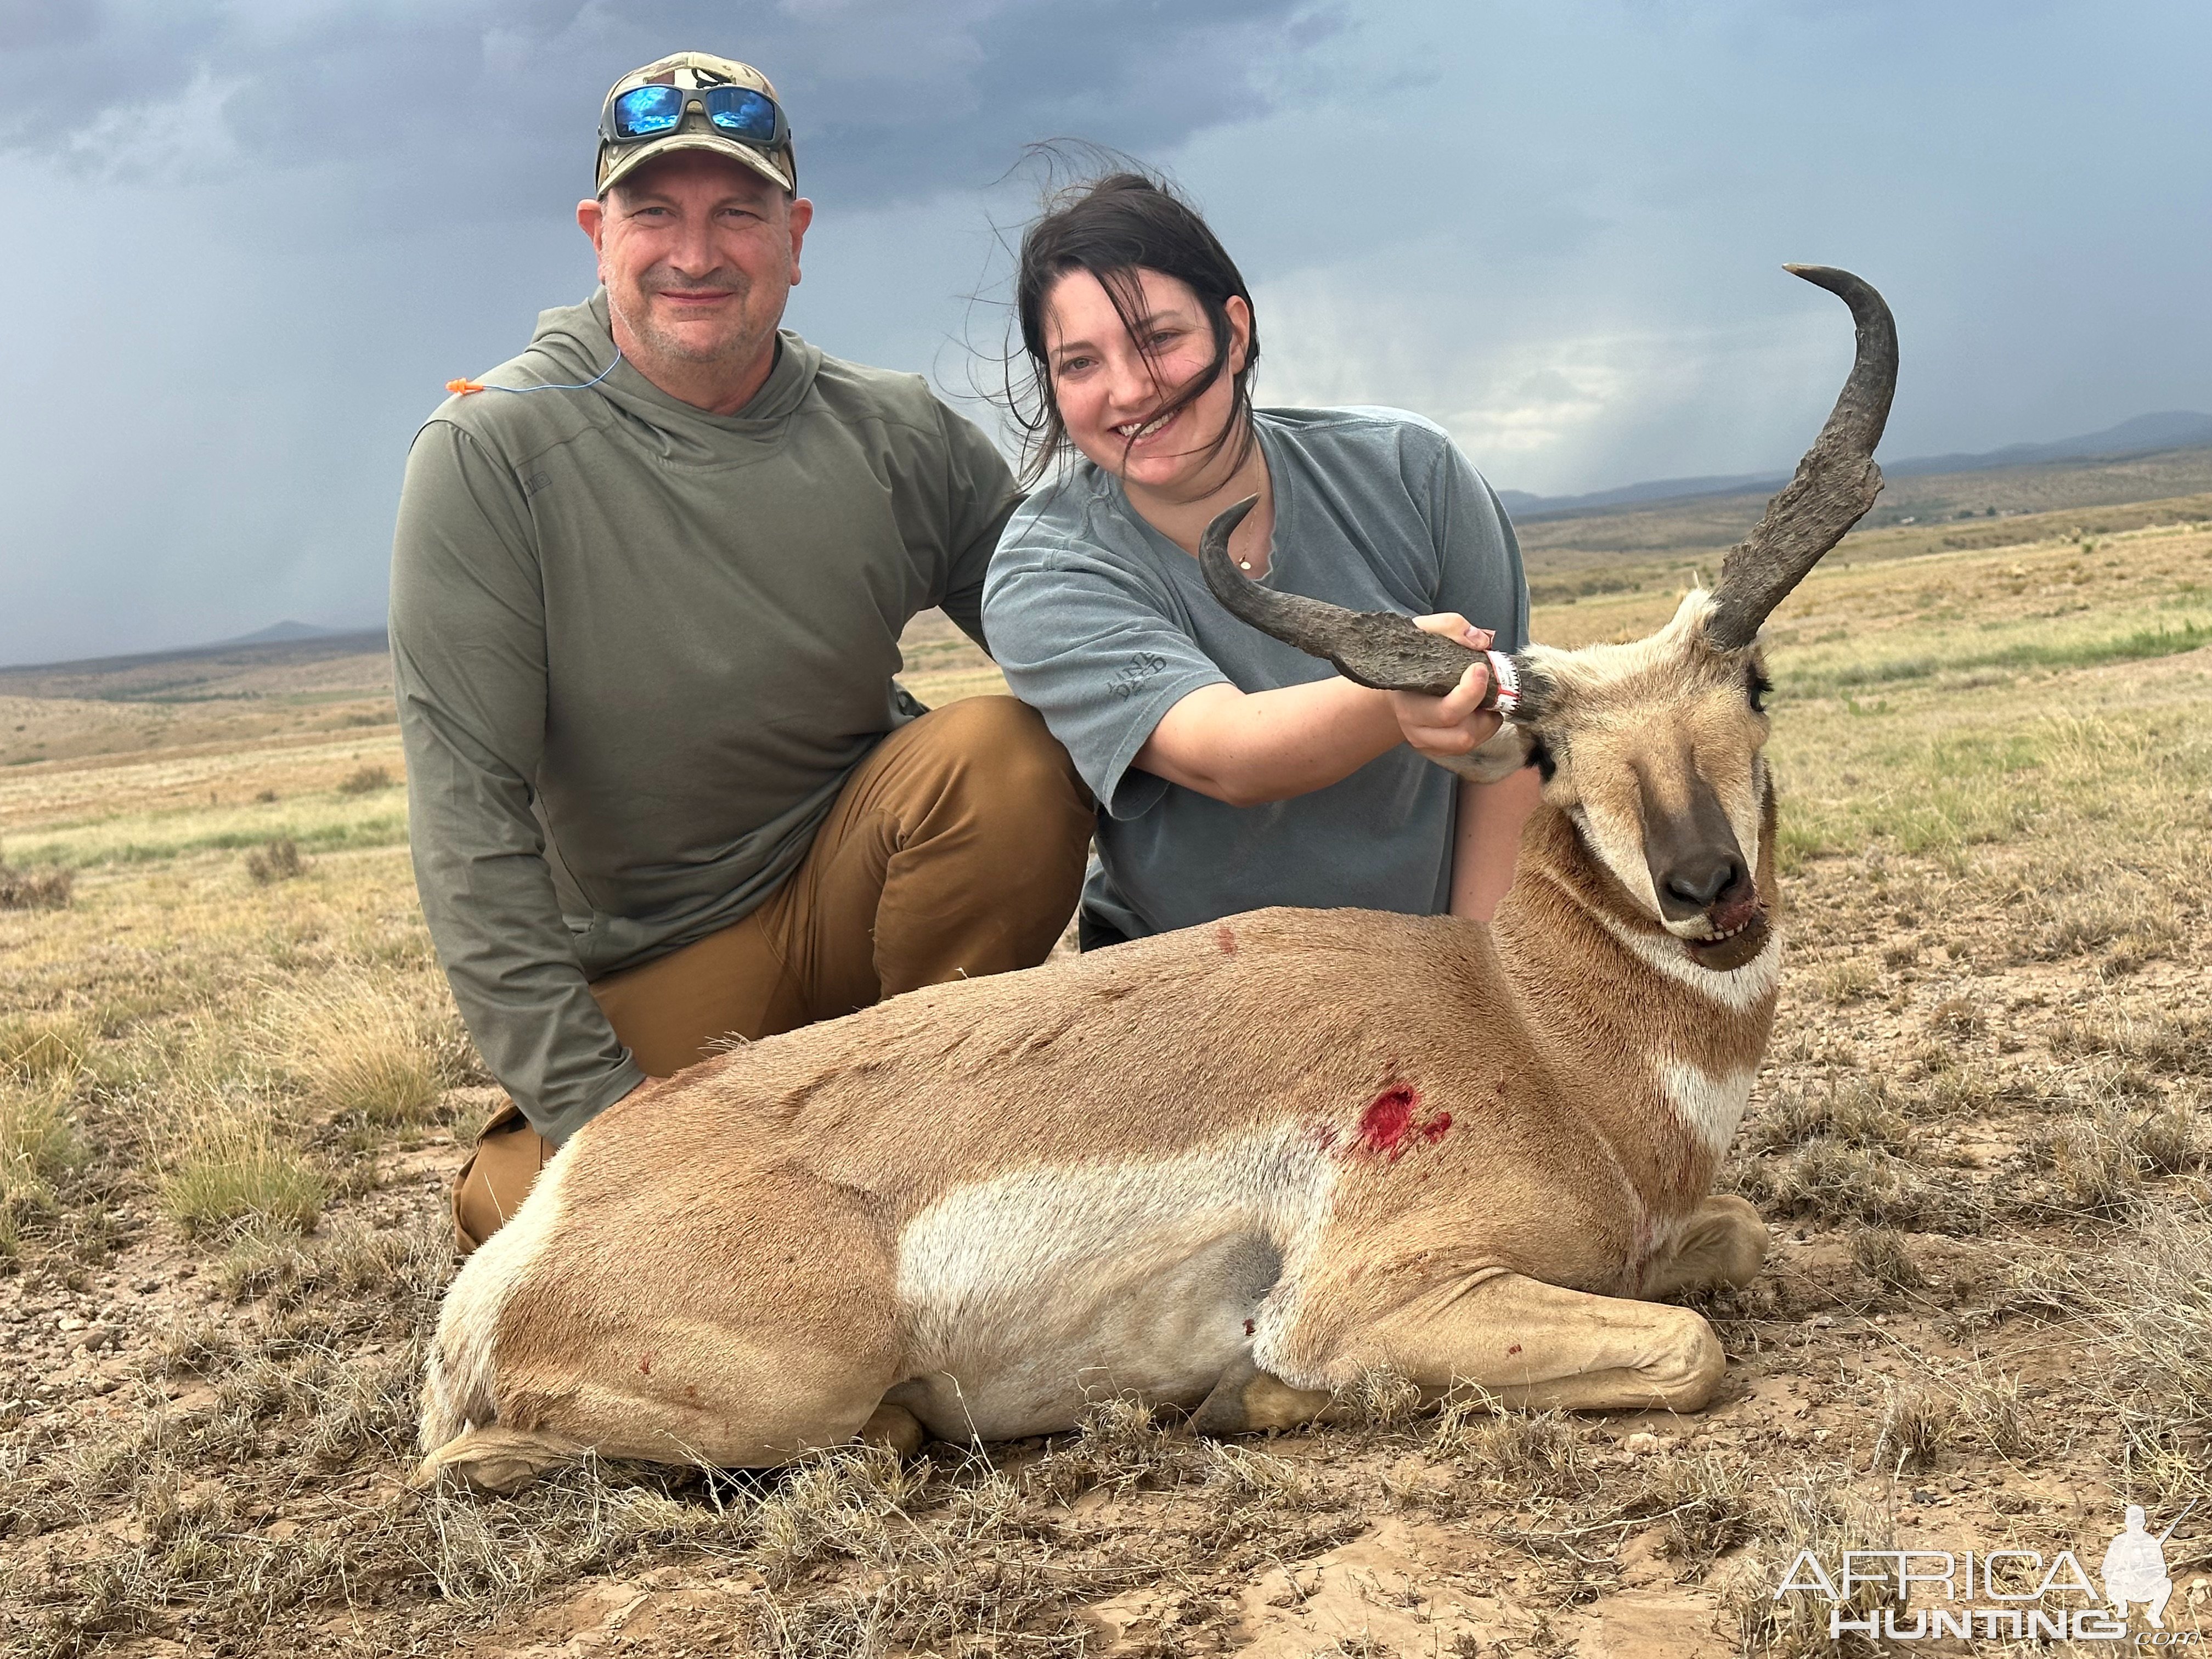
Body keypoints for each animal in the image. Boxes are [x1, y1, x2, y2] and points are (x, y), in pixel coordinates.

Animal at [418, 269, 1902, 1495]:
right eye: (1547, 754)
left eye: (1755, 686)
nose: (1706, 885)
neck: (1528, 1028)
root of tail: (535, 1234)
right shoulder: (1381, 1294)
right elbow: (1690, 1346)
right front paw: (1250, 1395)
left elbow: (1738, 1239)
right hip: (796, 1383)